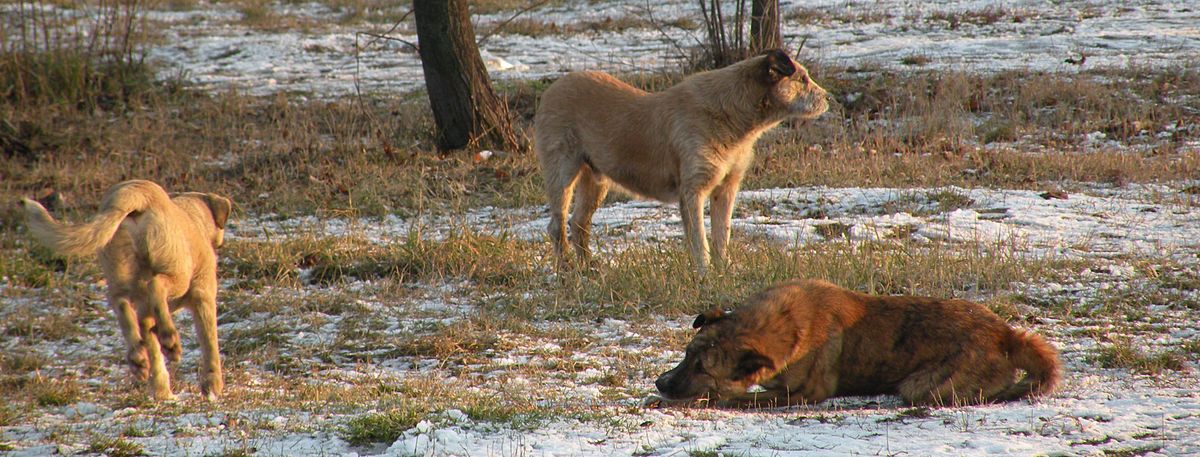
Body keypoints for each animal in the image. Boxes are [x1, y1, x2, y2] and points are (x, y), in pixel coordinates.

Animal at [21, 179, 230, 400]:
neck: (194, 217)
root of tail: (137, 193)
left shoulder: (146, 315)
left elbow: (155, 354)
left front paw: (162, 392)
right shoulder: (203, 297)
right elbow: (210, 344)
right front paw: (212, 385)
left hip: (118, 272)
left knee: (121, 305)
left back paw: (138, 359)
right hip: (177, 273)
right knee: (157, 286)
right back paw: (169, 339)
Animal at [657, 279, 1060, 407]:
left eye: (701, 367)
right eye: (686, 355)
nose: (659, 383)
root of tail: (1006, 334)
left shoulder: (803, 393)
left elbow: (733, 397)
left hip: (922, 385)